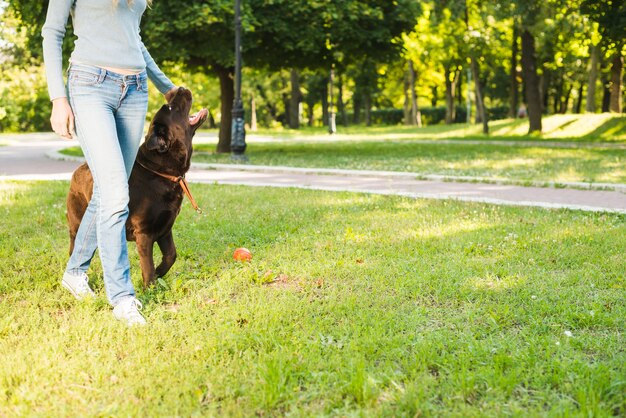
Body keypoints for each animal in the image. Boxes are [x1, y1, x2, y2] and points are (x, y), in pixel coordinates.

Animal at [66, 86, 207, 286]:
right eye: (171, 108)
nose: (180, 88)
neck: (160, 172)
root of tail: (77, 170)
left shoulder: (165, 228)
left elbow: (171, 255)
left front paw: (159, 273)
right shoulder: (144, 232)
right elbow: (147, 264)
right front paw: (150, 287)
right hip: (77, 222)